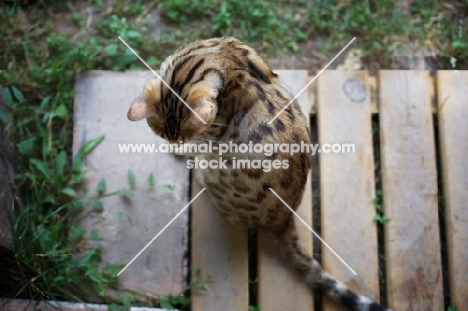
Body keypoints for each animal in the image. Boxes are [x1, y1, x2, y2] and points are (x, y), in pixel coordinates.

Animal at [127, 37, 392, 311]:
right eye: (162, 134)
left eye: (186, 136)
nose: (175, 144)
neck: (221, 56)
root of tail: (284, 220)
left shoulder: (211, 137)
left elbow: (197, 147)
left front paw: (181, 152)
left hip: (215, 174)